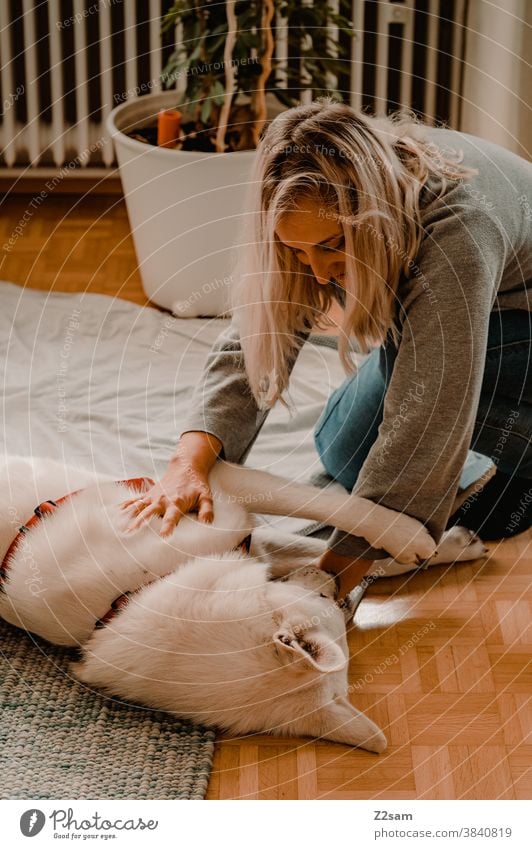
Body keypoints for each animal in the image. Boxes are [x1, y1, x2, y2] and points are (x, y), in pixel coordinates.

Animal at [0, 458, 486, 748]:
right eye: (331, 609)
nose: (334, 588)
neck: (137, 591)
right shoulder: (224, 502)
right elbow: (330, 522)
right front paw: (419, 540)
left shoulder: (222, 500)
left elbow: (331, 520)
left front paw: (432, 544)